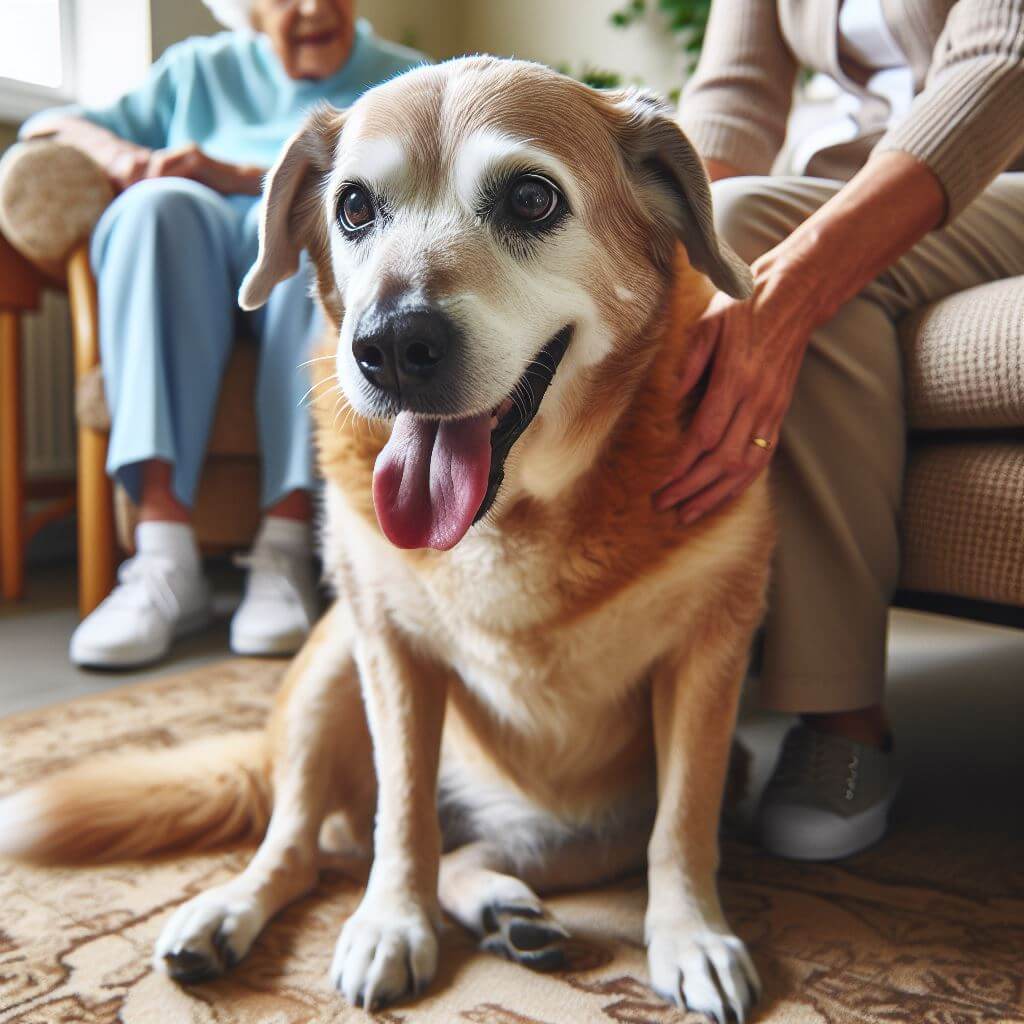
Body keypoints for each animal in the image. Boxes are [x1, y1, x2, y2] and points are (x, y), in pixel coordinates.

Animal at [0, 58, 770, 1024]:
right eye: (356, 207)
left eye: (532, 198)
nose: (391, 346)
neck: (514, 516)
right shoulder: (392, 649)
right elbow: (403, 815)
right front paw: (391, 924)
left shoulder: (712, 653)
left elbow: (685, 822)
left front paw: (691, 934)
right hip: (332, 667)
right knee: (304, 845)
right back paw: (229, 915)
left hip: (595, 823)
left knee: (474, 852)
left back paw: (509, 910)